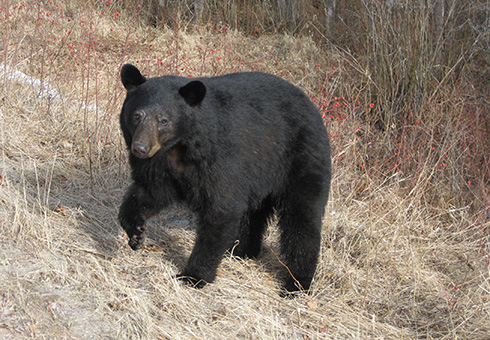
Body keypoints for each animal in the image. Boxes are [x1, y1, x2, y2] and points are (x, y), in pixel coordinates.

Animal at [119, 64, 334, 294]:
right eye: (137, 115)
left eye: (164, 120)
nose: (140, 148)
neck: (178, 148)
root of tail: (314, 108)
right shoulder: (159, 167)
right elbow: (148, 193)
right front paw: (136, 233)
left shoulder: (221, 160)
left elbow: (221, 210)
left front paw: (193, 276)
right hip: (259, 173)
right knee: (253, 213)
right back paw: (242, 249)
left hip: (301, 159)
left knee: (302, 218)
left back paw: (297, 282)